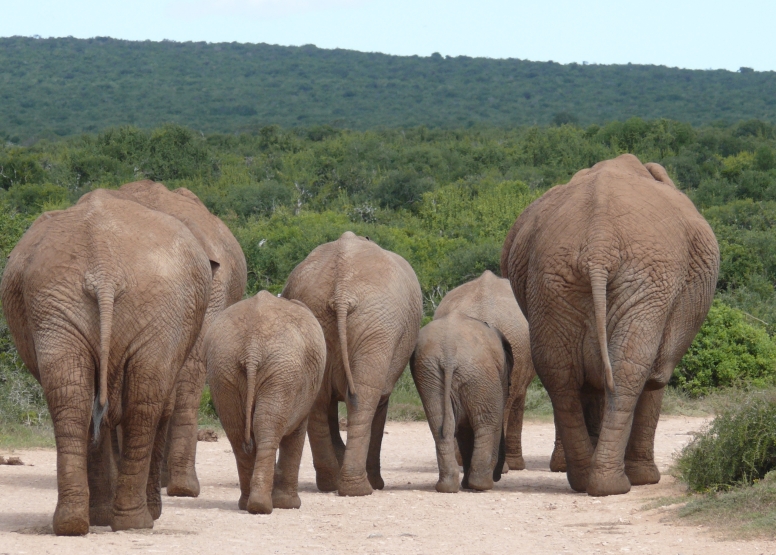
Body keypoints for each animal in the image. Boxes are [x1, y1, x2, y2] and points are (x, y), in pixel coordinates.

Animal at [0, 190, 213, 534]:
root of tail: (104, 267)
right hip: (155, 303)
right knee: (144, 402)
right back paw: (135, 522)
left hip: (56, 300)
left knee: (72, 395)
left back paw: (74, 523)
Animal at [204, 291, 326, 514]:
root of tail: (252, 347)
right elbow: (297, 432)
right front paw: (289, 505)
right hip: (281, 370)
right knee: (266, 428)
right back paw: (262, 506)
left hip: (223, 368)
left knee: (237, 432)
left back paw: (249, 505)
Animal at [281, 231, 422, 496]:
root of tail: (341, 291)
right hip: (378, 327)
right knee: (365, 399)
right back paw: (361, 488)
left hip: (323, 317)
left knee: (320, 400)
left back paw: (331, 484)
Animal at [410, 313, 512, 493]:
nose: (499, 476)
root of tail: (449, 354)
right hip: (478, 371)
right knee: (487, 422)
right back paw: (481, 485)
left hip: (430, 372)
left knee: (439, 424)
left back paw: (447, 487)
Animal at [501, 154, 719, 496]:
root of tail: (598, 244)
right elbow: (656, 376)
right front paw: (646, 480)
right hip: (648, 279)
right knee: (631, 368)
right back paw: (616, 484)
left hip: (551, 280)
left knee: (559, 371)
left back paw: (586, 481)